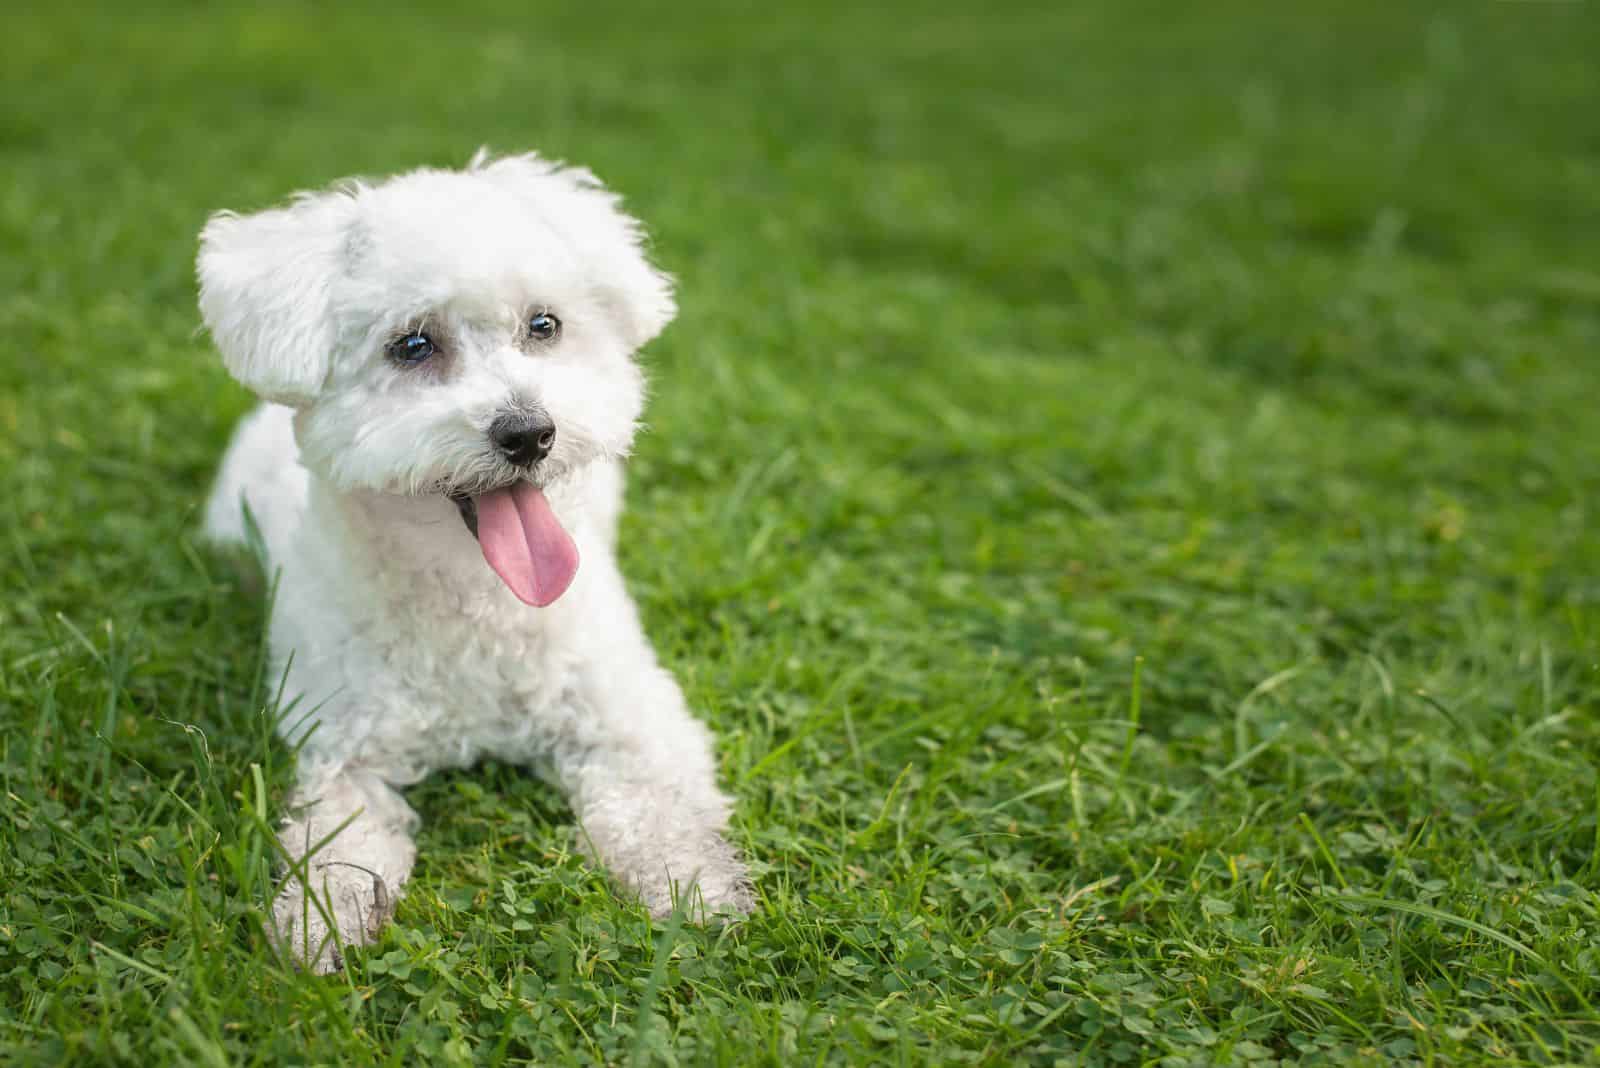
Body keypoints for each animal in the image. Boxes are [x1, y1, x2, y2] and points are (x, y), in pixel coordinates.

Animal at [195, 151, 755, 978]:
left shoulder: (626, 710)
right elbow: (337, 839)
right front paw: (321, 921)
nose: (529, 433)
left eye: (544, 325)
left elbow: (657, 804)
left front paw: (693, 881)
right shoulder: (344, 744)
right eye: (412, 345)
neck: (479, 601)